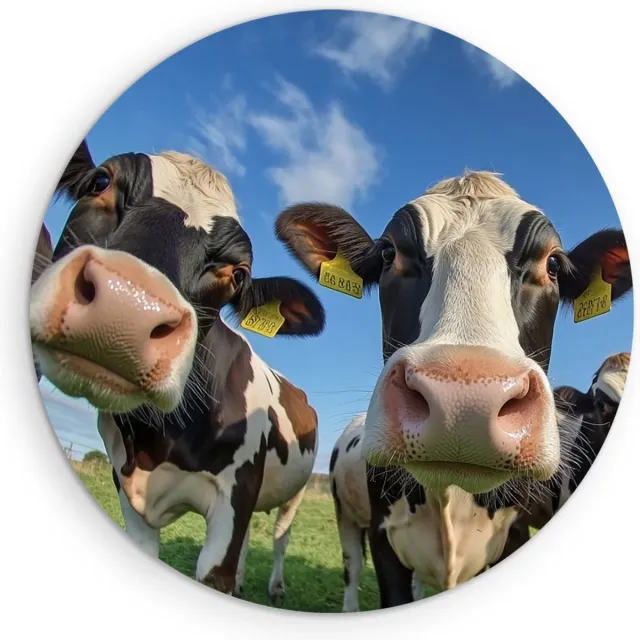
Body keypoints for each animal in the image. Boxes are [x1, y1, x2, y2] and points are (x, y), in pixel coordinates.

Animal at [30, 139, 327, 602]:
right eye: (100, 181)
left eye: (237, 274)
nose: (127, 306)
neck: (155, 437)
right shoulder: (127, 491)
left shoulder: (234, 493)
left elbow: (219, 570)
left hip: (292, 494)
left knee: (279, 538)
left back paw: (275, 587)